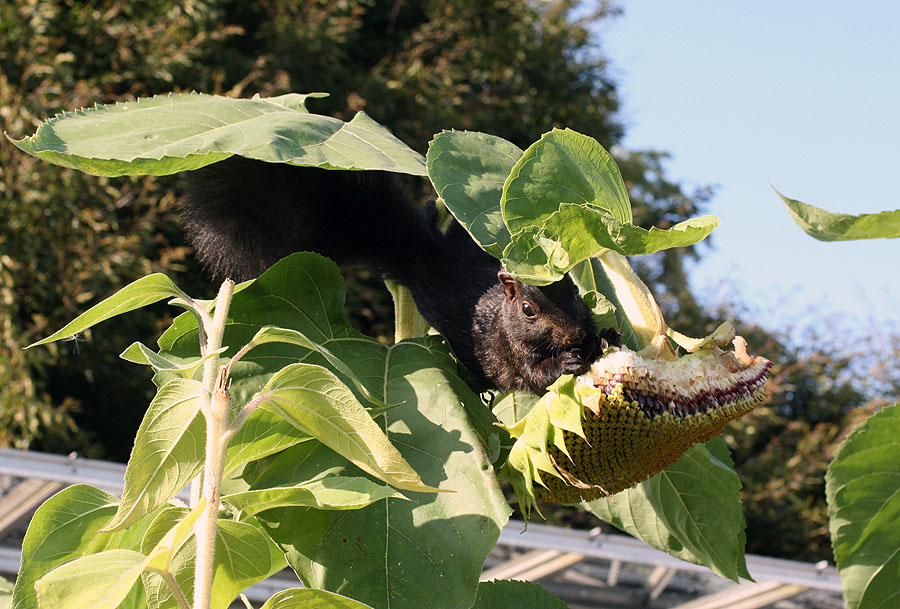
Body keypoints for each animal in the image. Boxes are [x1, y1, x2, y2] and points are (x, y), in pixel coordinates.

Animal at [180, 156, 612, 394]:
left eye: (575, 290)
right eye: (527, 310)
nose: (574, 335)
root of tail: (421, 255)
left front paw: (602, 337)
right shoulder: (506, 348)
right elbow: (534, 376)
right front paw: (568, 361)